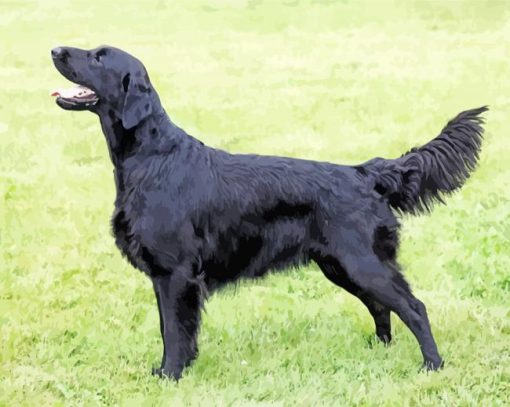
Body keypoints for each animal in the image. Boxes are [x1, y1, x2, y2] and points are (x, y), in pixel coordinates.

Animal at [50, 46, 486, 380]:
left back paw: (432, 365)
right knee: (382, 307)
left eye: (98, 57)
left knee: (414, 308)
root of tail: (364, 172)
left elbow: (174, 331)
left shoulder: (175, 274)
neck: (152, 157)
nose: (55, 50)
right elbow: (173, 329)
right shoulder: (167, 277)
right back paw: (380, 349)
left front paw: (170, 375)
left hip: (364, 263)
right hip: (341, 266)